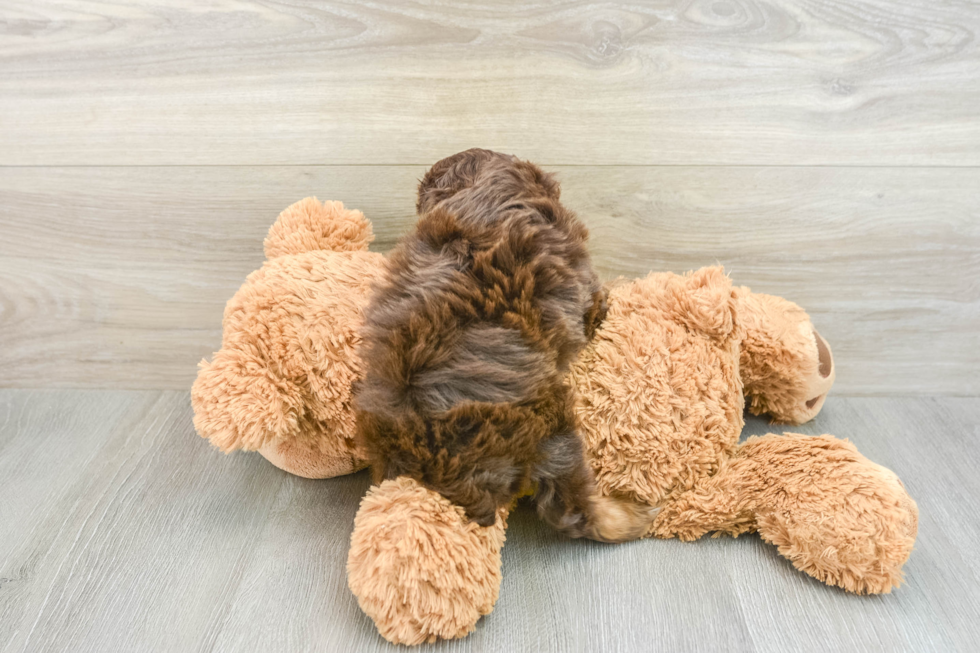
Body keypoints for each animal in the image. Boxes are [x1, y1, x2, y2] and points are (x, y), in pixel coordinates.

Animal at [356, 149, 656, 540]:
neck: (480, 187)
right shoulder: (582, 283)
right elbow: (595, 301)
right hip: (548, 426)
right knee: (573, 510)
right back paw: (630, 515)